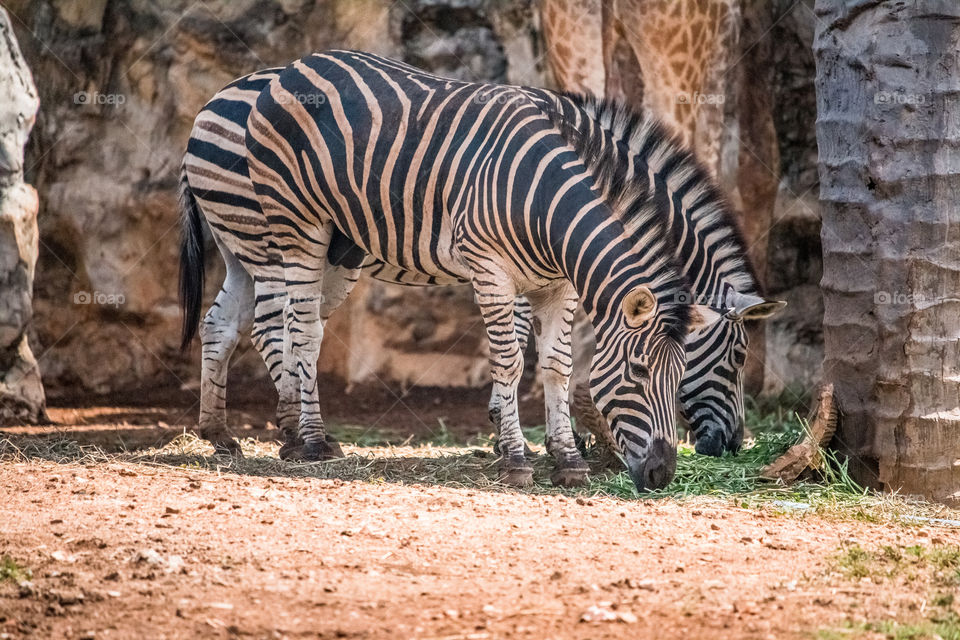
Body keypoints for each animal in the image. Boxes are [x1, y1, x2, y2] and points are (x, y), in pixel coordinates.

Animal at [179, 50, 721, 491]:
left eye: (681, 374)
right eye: (640, 371)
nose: (662, 475)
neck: (545, 201)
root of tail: (294, 66)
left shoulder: (559, 286)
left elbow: (557, 367)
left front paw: (567, 461)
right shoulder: (492, 270)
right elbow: (510, 361)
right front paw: (515, 457)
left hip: (265, 244)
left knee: (230, 323)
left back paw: (222, 433)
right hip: (290, 229)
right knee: (292, 329)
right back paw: (305, 441)